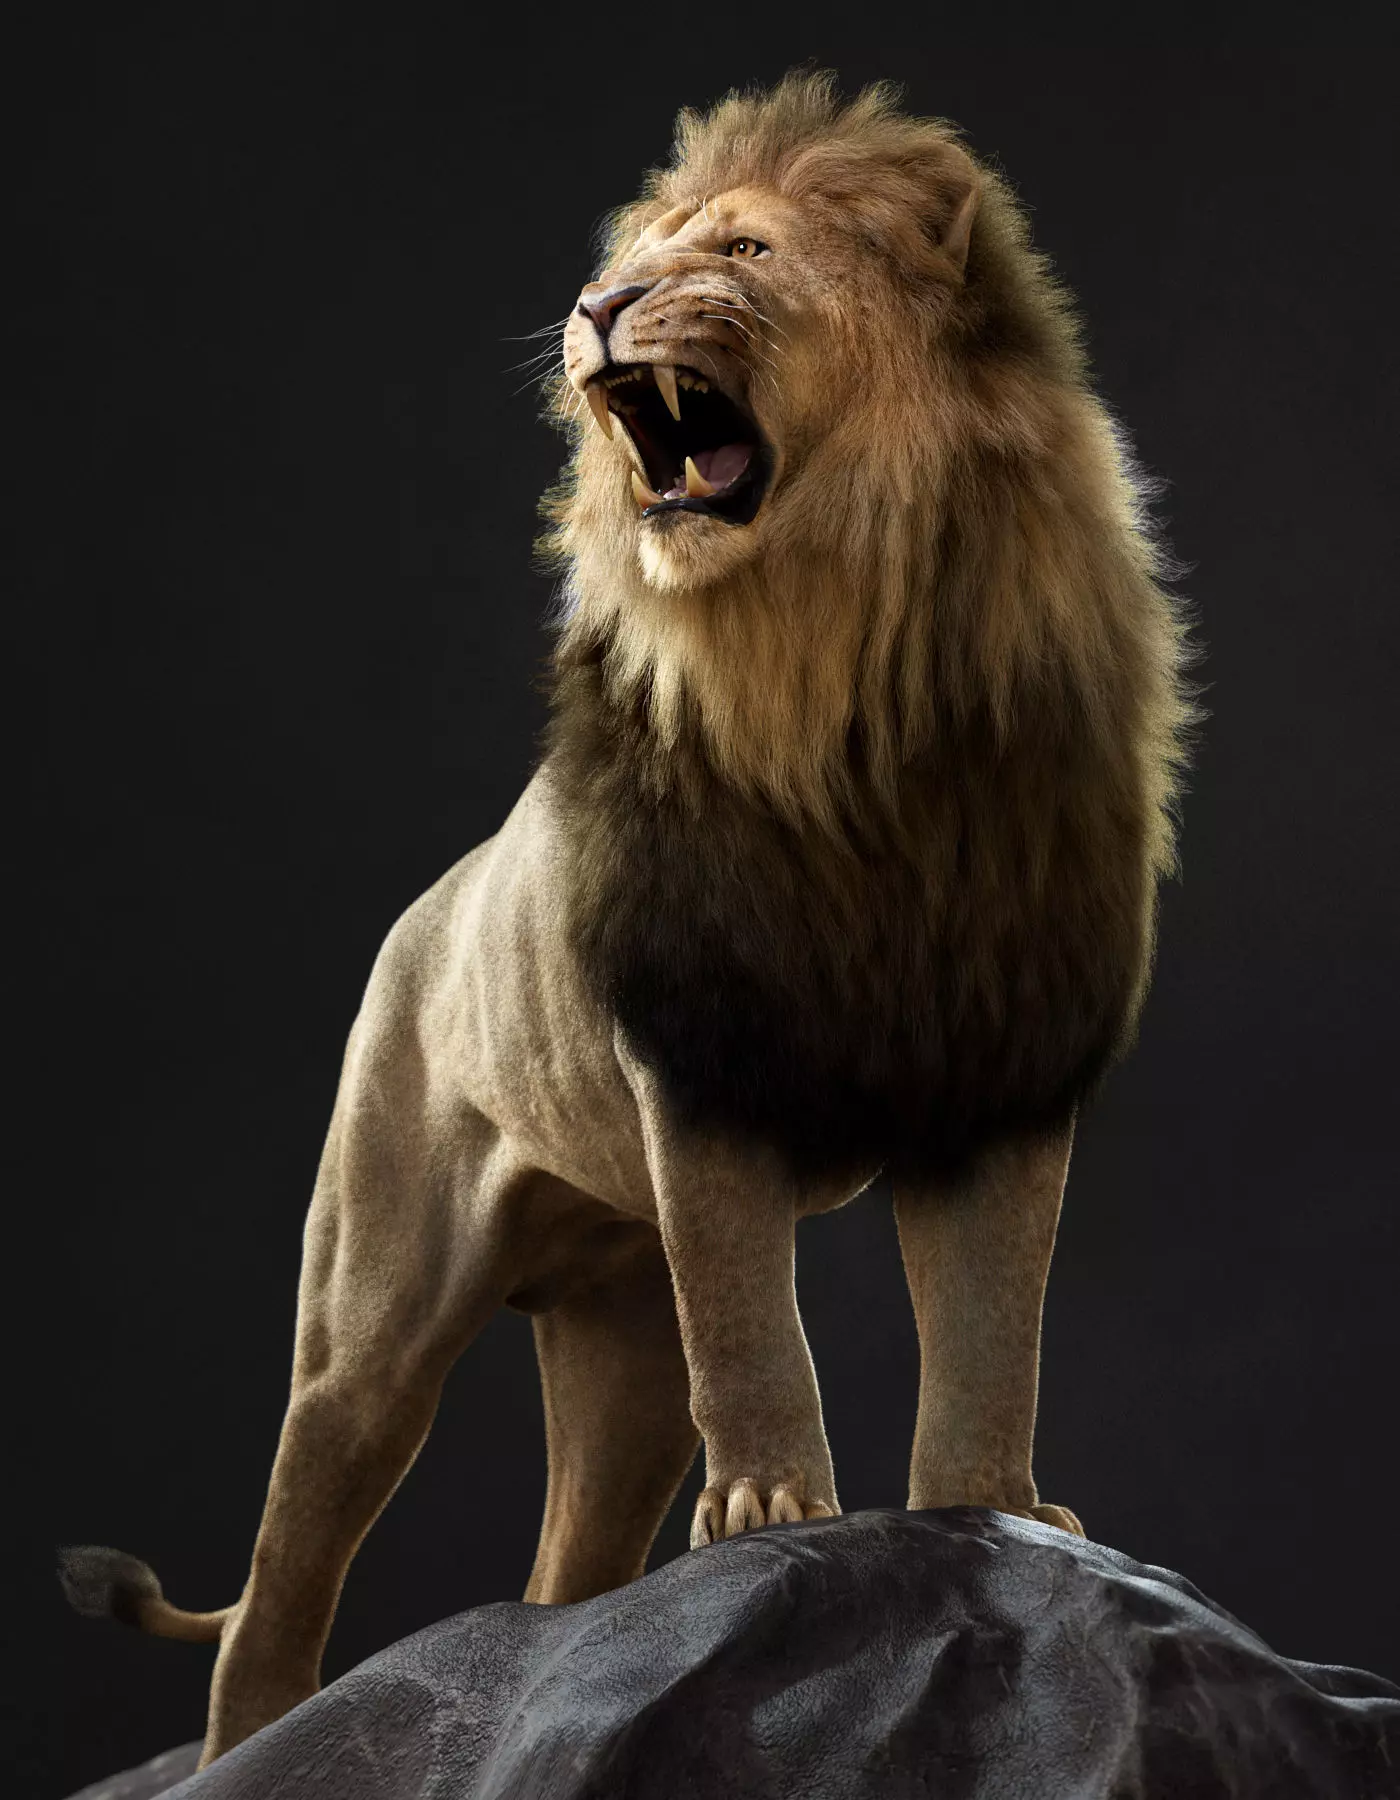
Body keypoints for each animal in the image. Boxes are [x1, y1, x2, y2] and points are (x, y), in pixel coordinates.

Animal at [61, 74, 1192, 1766]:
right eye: (635, 255)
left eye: (738, 249)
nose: (598, 303)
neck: (849, 684)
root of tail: (433, 899)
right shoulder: (697, 1056)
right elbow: (760, 1329)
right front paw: (775, 1508)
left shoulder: (1002, 1066)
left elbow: (997, 1326)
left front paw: (995, 1511)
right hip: (371, 1308)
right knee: (286, 1567)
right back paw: (256, 1744)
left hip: (621, 1346)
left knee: (565, 1571)